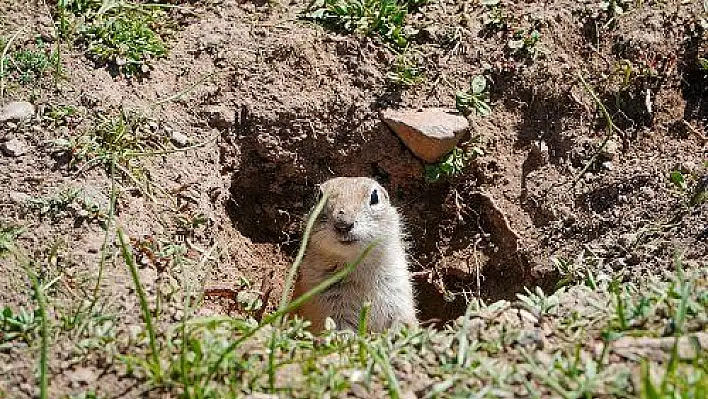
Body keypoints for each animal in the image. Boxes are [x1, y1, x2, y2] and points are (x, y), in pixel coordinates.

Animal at [292, 178, 418, 334]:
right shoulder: (324, 301)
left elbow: (403, 319)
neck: (357, 261)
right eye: (319, 196)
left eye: (374, 197)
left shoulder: (397, 288)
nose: (343, 224)